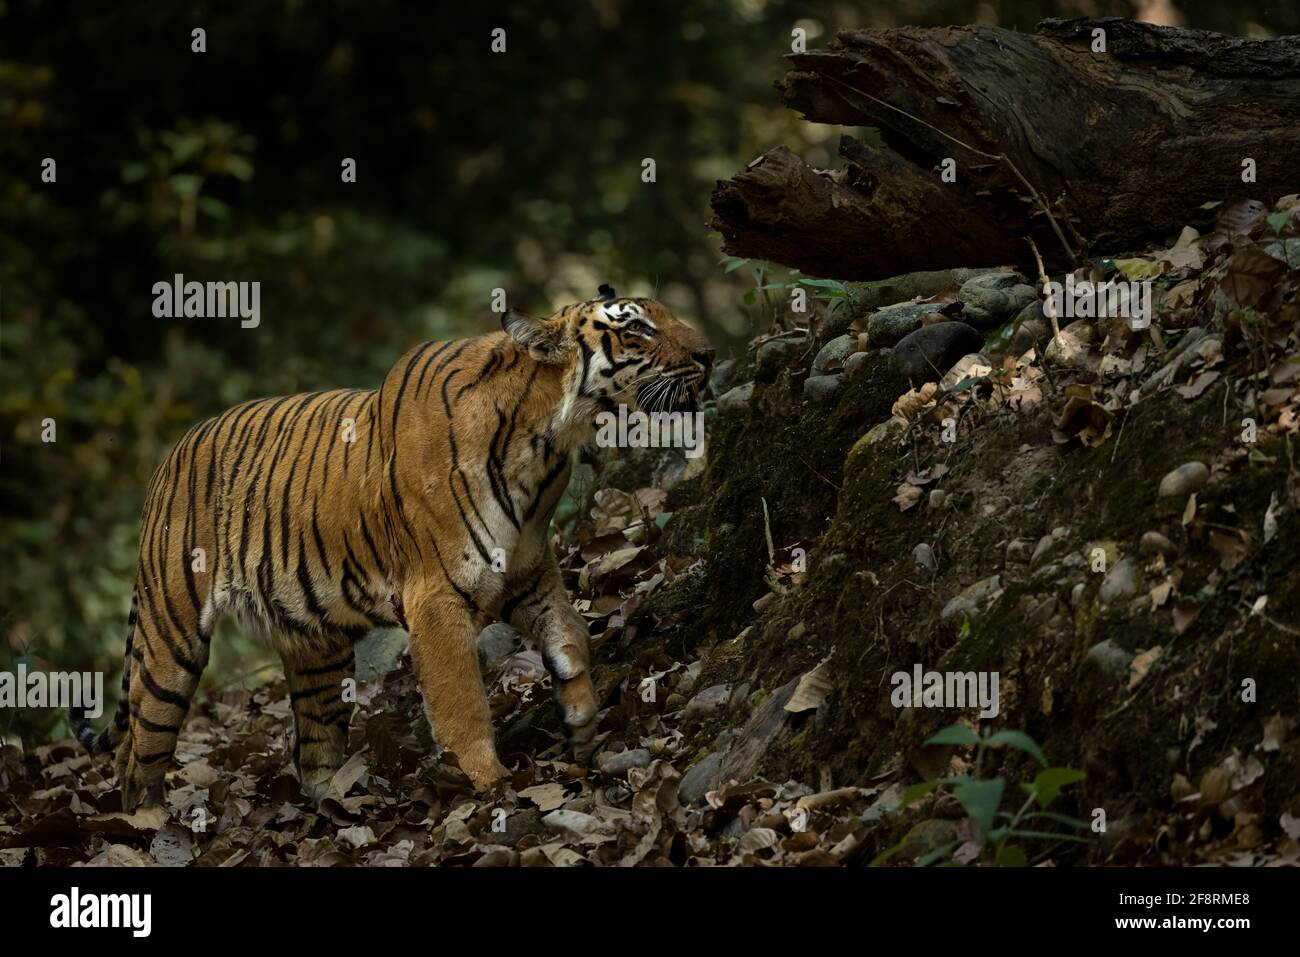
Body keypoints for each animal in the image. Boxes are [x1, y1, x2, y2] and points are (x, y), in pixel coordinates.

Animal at [73, 283, 712, 806]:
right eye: (636, 328)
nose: (708, 354)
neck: (548, 441)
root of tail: (168, 460)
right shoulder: (435, 600)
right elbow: (461, 703)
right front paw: (491, 783)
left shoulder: (528, 574)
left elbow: (571, 638)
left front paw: (582, 726)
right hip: (171, 641)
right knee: (136, 756)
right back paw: (146, 823)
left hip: (315, 648)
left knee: (313, 747)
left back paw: (335, 803)